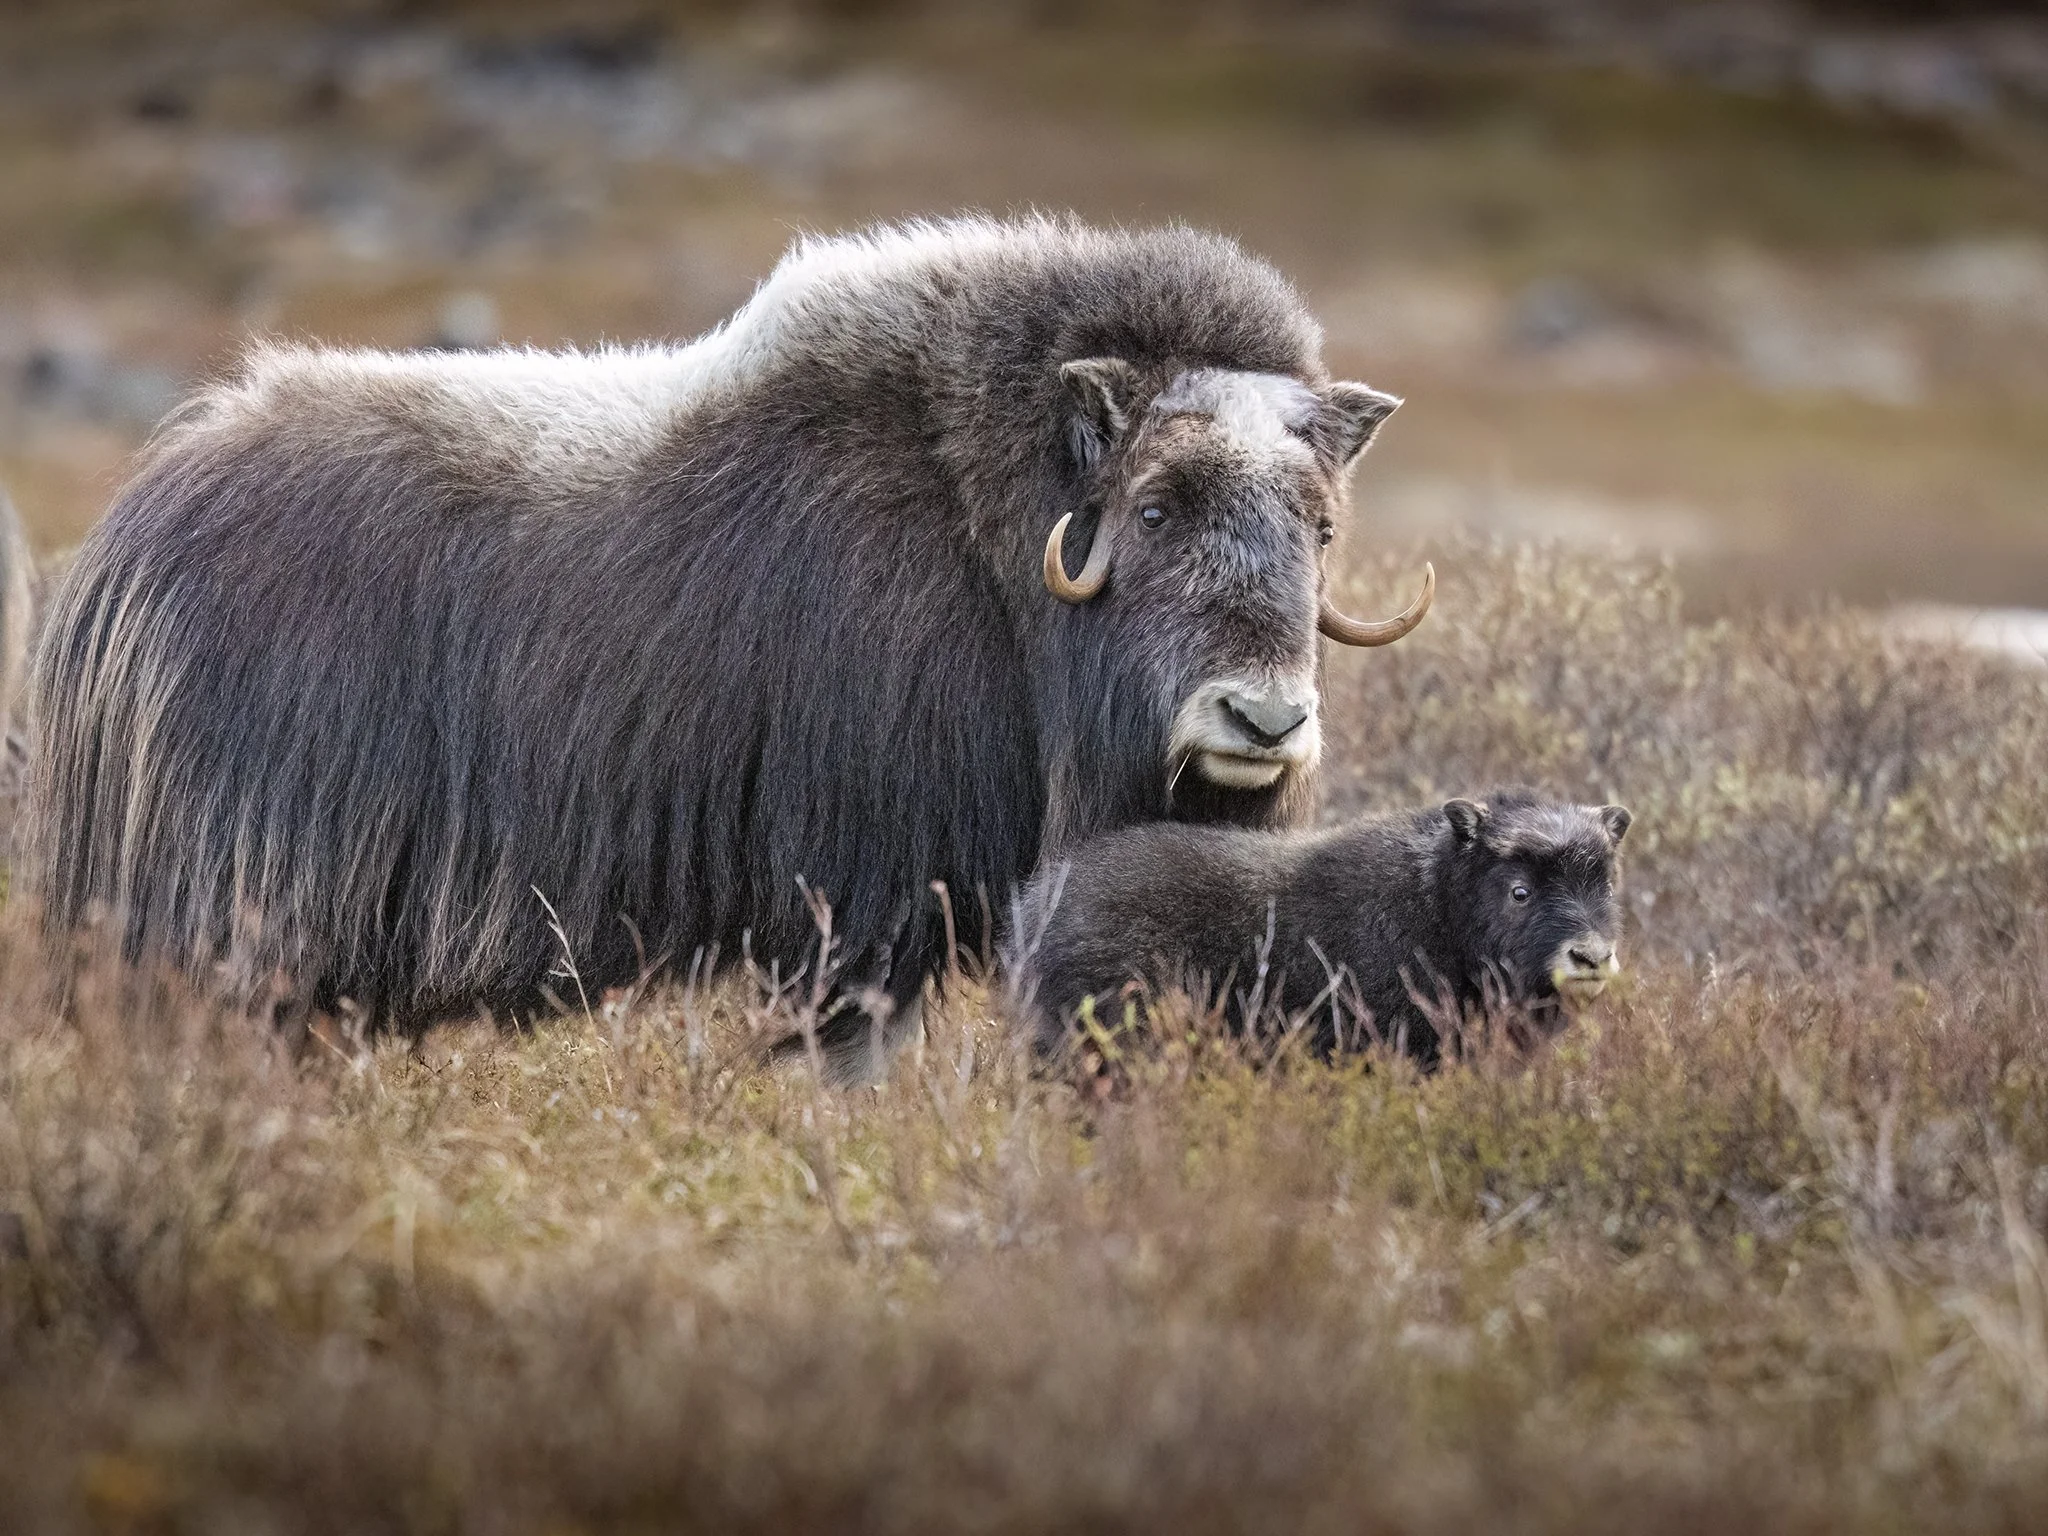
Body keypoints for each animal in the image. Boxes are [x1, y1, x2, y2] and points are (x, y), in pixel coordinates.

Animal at [27, 215, 1431, 1082]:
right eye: (1153, 510)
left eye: (1318, 525)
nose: (1261, 724)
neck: (981, 536)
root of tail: (134, 525)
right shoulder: (862, 899)